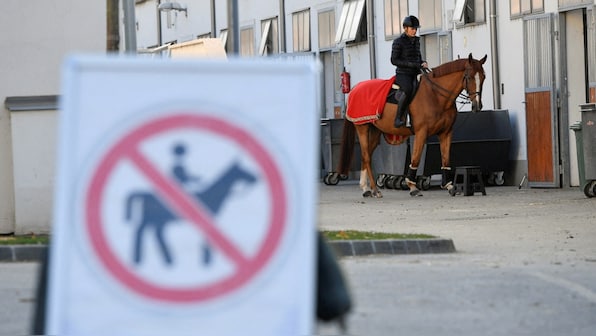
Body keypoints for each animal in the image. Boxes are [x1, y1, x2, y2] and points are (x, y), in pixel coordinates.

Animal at [124, 161, 258, 266]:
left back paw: (165, 258)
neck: (209, 196)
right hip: (152, 219)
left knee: (152, 232)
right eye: (242, 170)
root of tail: (143, 194)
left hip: (157, 220)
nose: (255, 178)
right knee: (142, 230)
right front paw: (206, 258)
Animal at [338, 53, 486, 197]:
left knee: (365, 155)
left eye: (483, 77)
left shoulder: (446, 132)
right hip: (362, 128)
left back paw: (365, 188)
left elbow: (445, 159)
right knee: (367, 157)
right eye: (468, 77)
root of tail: (355, 89)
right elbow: (416, 158)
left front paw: (449, 186)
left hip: (375, 131)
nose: (477, 106)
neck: (436, 96)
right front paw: (412, 186)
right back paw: (374, 190)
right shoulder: (421, 132)